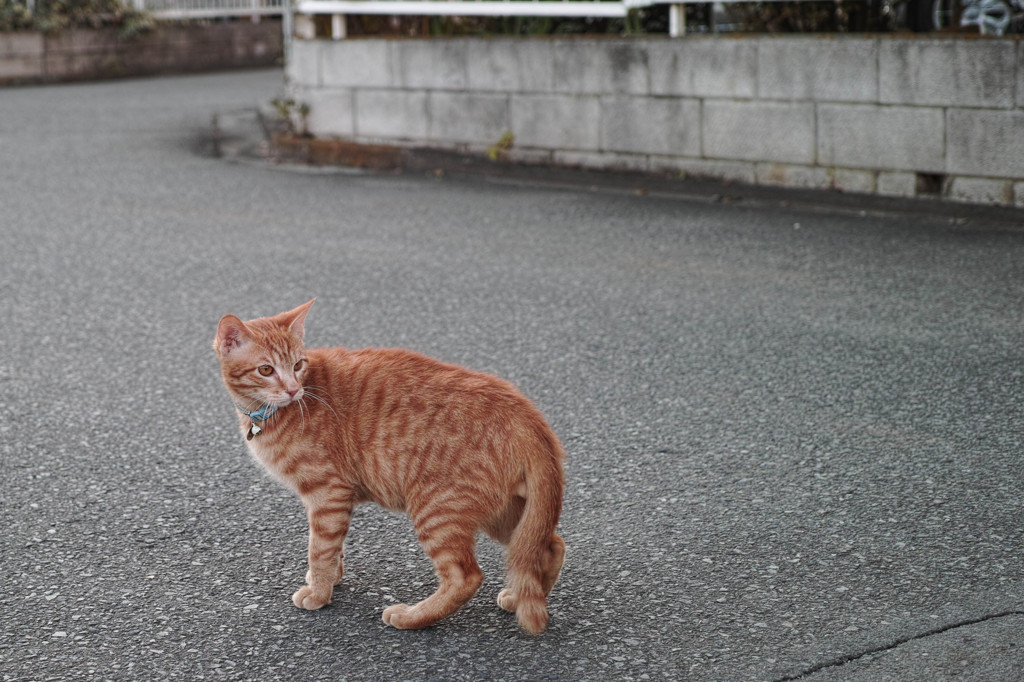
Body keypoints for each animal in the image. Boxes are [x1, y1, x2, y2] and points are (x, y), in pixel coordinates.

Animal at [214, 299, 569, 630]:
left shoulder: (327, 493)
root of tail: (527, 413)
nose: (292, 389)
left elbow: (320, 548)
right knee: (547, 546)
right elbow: (335, 547)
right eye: (266, 370)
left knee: (466, 577)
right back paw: (523, 597)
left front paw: (318, 592)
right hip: (507, 514)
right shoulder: (333, 501)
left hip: (437, 510)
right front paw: (331, 579)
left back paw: (413, 617)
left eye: (298, 365)